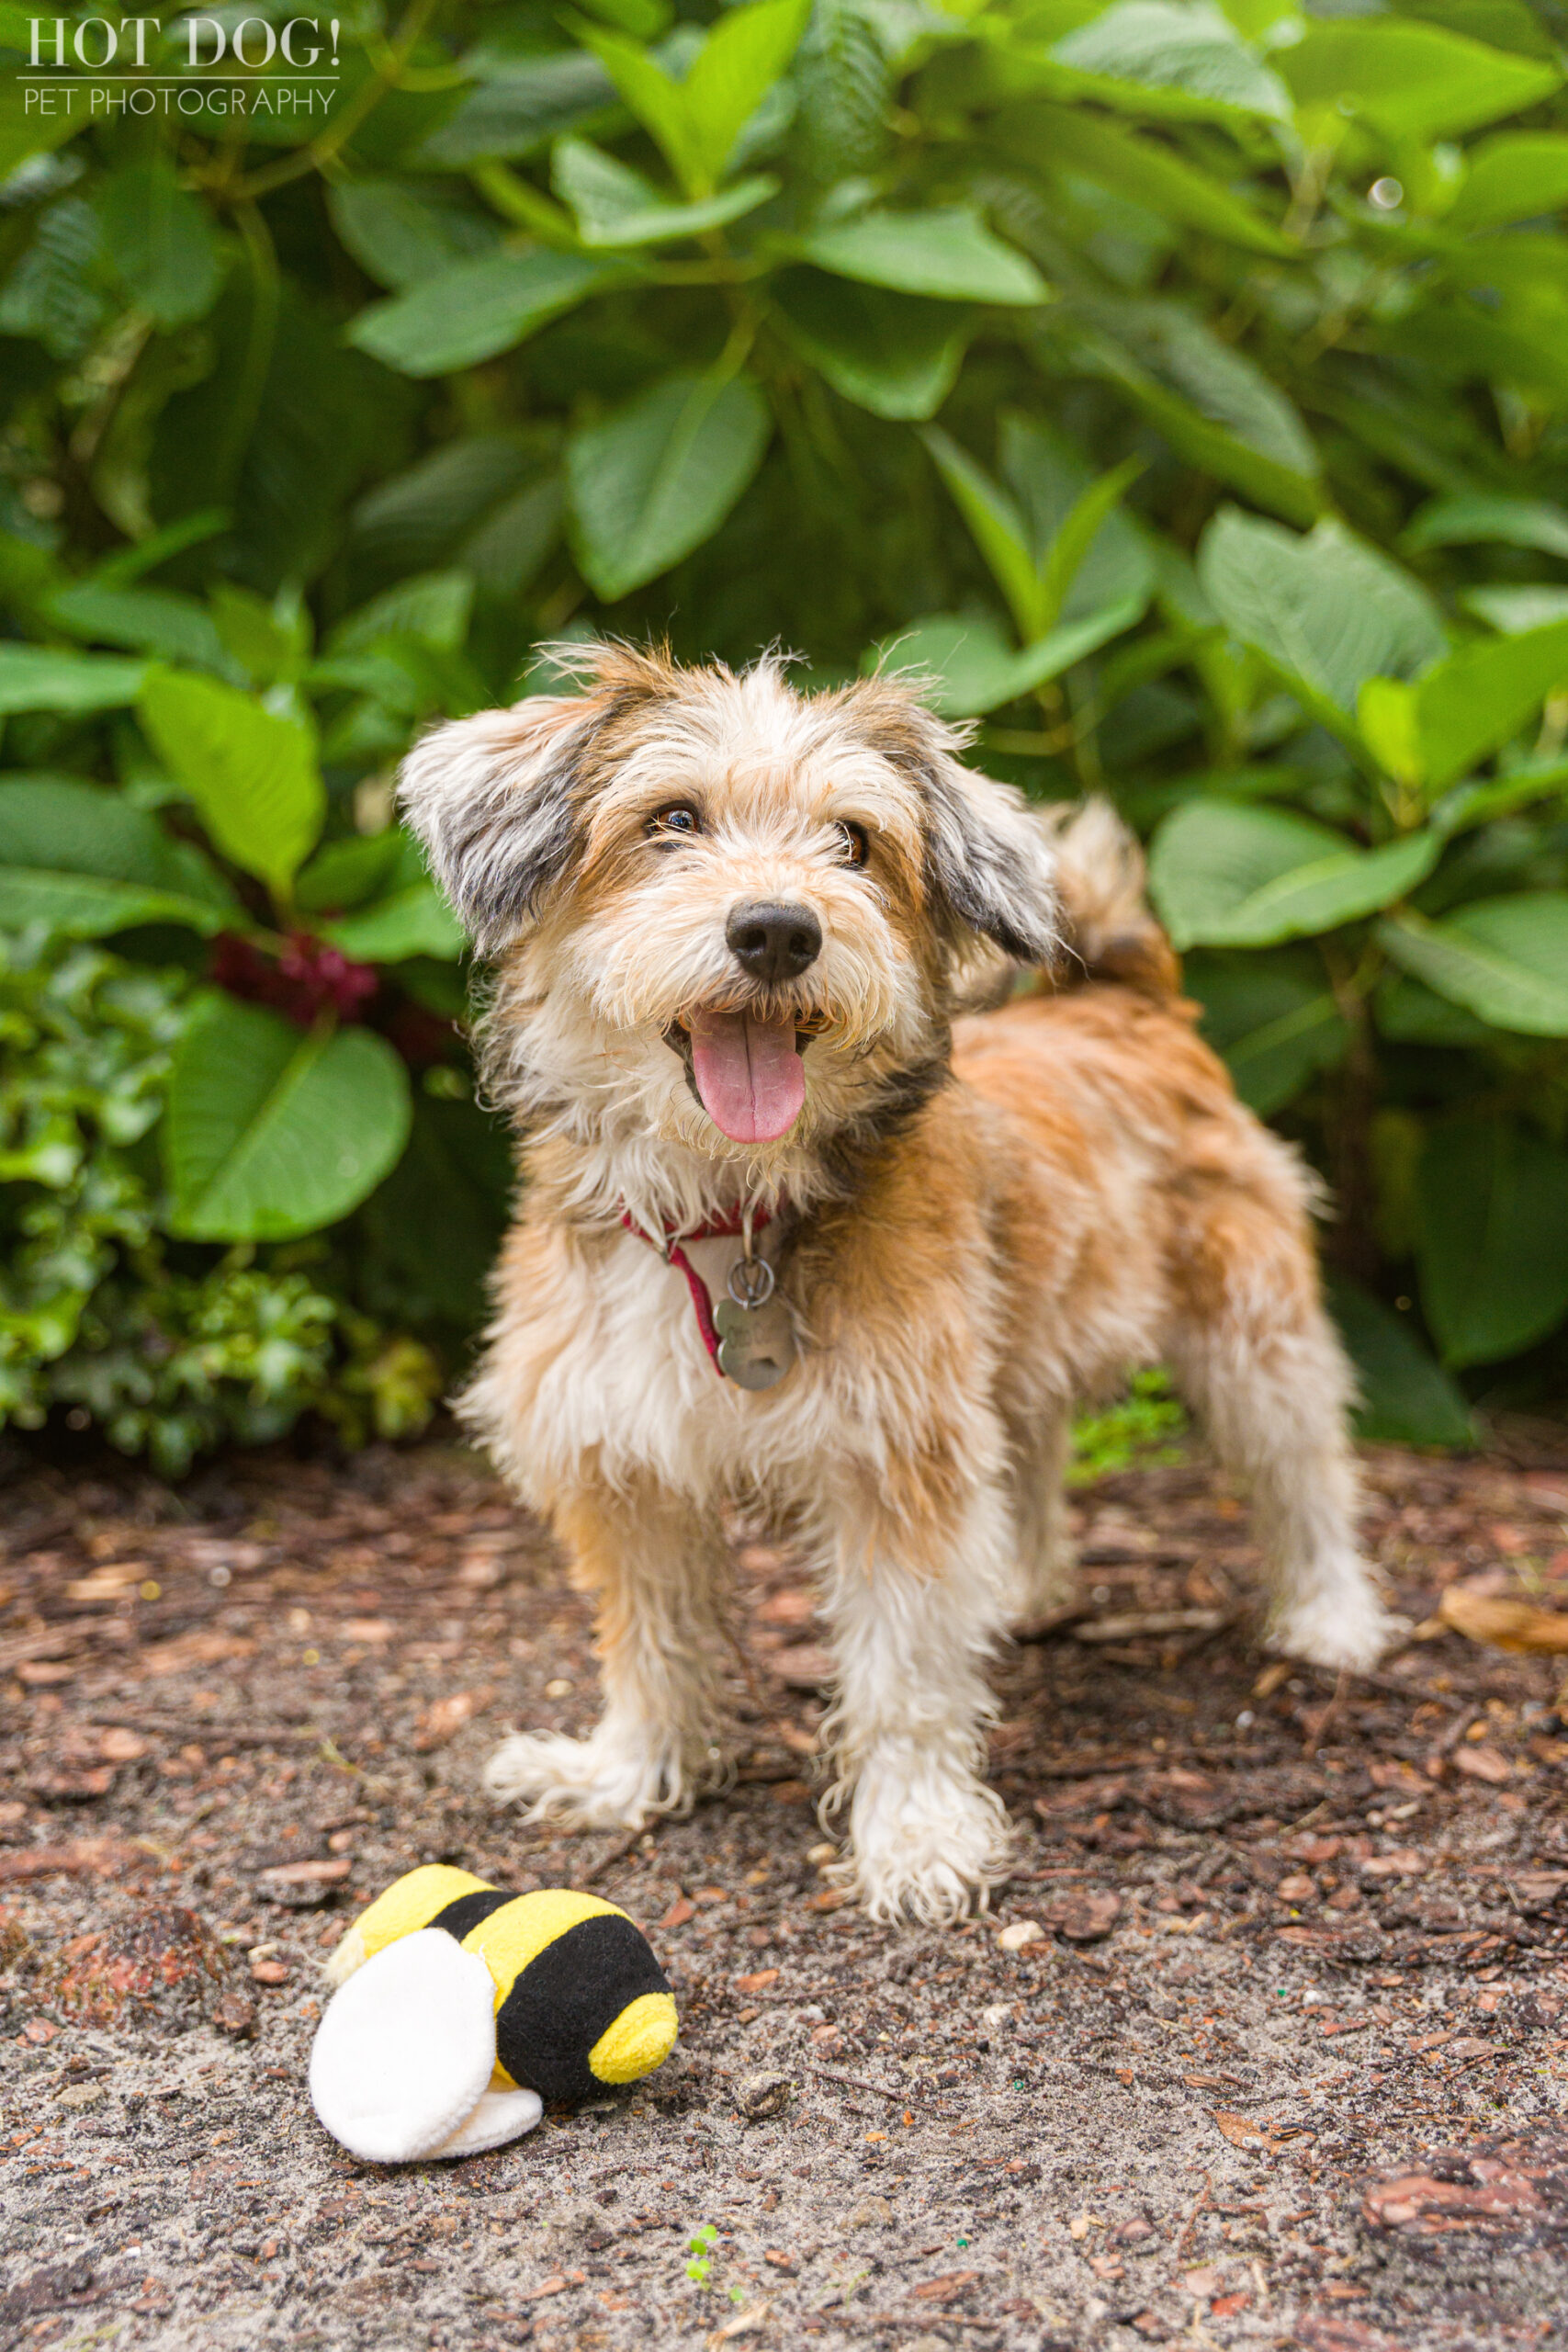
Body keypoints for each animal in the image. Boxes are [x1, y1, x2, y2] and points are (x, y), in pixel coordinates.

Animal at [404, 649, 1401, 1928]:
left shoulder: (896, 1458)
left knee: (1305, 1475)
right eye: (671, 820)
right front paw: (629, 1771)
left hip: (1252, 1338)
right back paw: (1021, 1587)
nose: (778, 929)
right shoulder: (627, 1464)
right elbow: (650, 1639)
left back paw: (1331, 1616)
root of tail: (1129, 998)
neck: (729, 1215)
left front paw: (918, 1836)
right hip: (1014, 1349)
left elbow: (905, 1674)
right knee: (1033, 1463)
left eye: (855, 841)